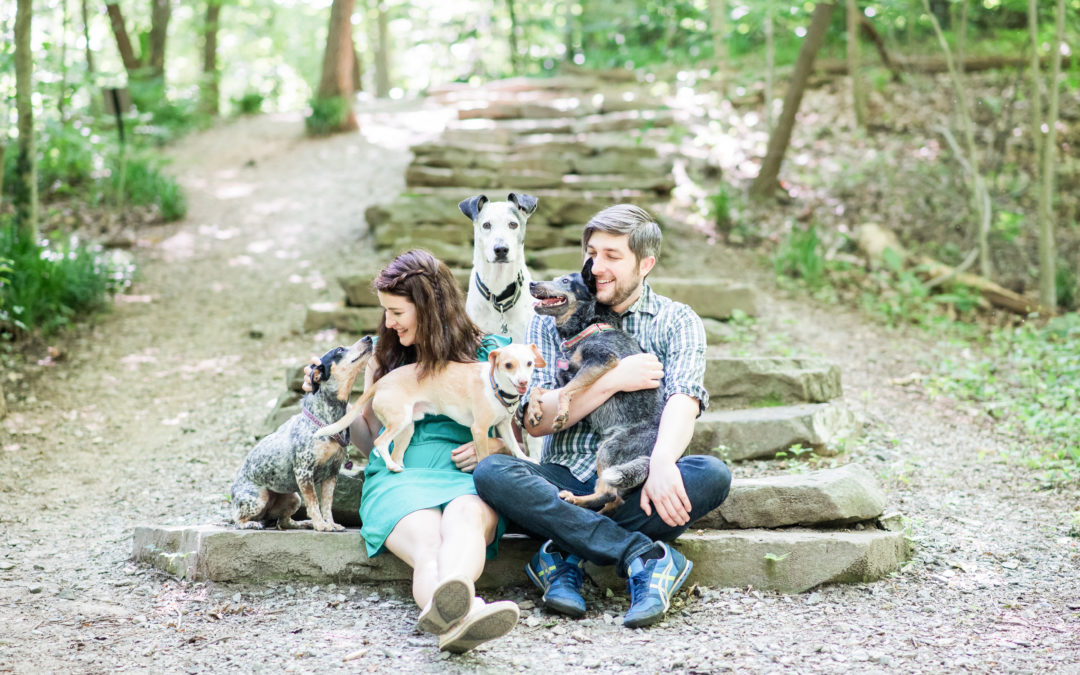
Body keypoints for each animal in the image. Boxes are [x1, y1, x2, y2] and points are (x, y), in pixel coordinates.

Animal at [230, 336, 373, 531]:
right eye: (339, 350)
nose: (368, 338)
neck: (326, 420)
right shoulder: (304, 472)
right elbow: (314, 503)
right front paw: (321, 525)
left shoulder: (332, 474)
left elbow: (327, 505)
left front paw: (331, 524)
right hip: (258, 499)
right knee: (237, 518)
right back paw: (251, 523)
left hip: (293, 498)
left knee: (283, 522)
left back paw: (303, 523)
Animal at [315, 341, 544, 468]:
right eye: (508, 365)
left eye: (529, 363)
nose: (524, 382)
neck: (496, 386)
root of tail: (382, 382)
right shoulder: (479, 429)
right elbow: (484, 456)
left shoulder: (504, 425)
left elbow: (514, 446)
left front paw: (527, 459)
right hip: (399, 421)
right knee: (380, 442)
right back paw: (391, 466)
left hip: (406, 429)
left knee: (396, 453)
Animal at [524, 258, 665, 509]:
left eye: (565, 281)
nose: (532, 283)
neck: (588, 326)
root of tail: (651, 455)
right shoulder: (565, 374)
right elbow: (539, 388)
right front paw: (534, 410)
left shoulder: (602, 359)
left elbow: (564, 392)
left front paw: (561, 413)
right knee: (614, 498)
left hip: (610, 448)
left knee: (608, 493)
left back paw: (577, 499)